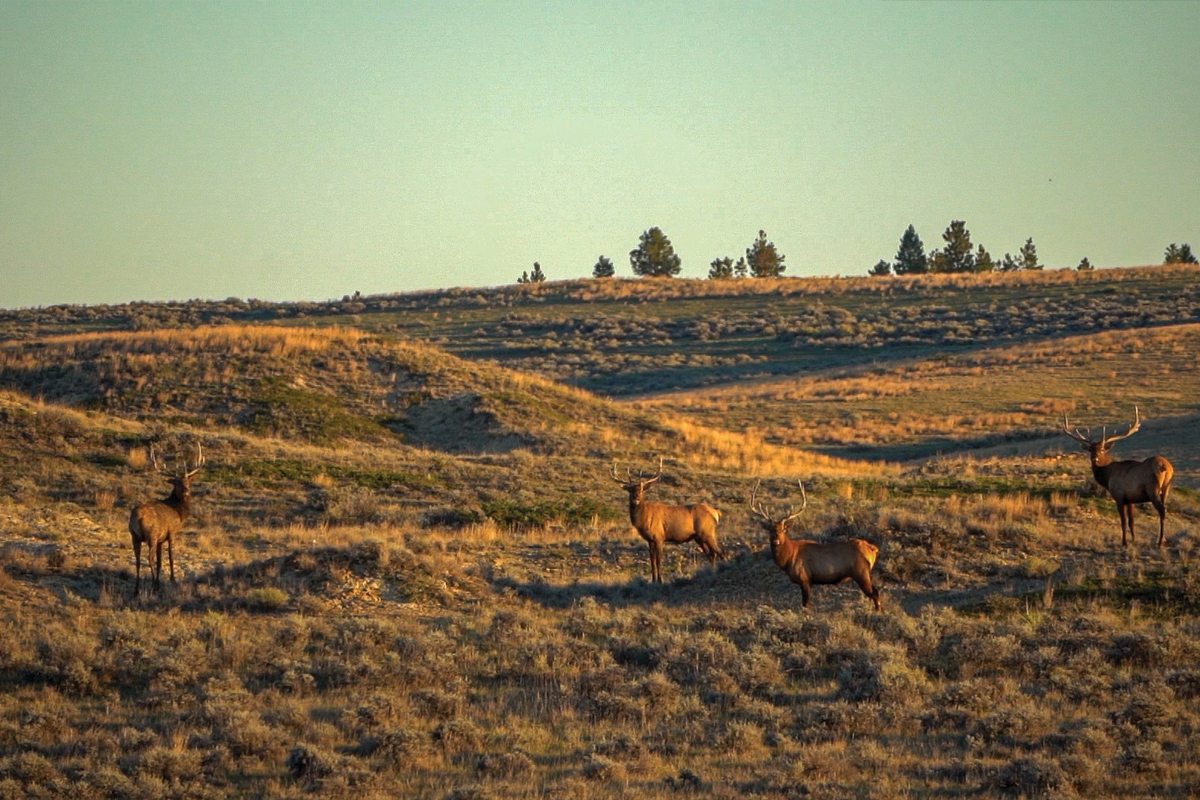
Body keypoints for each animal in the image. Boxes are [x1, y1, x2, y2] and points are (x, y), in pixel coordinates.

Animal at [128, 441, 204, 592]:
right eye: (176, 482)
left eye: (188, 481)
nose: (186, 490)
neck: (179, 512)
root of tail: (138, 518)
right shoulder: (172, 532)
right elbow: (171, 557)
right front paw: (172, 580)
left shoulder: (160, 540)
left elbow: (160, 561)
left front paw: (159, 581)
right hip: (152, 533)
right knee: (149, 557)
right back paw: (152, 586)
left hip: (134, 535)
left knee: (138, 559)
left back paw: (137, 589)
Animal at [748, 482, 883, 614]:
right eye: (770, 530)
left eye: (784, 530)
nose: (776, 541)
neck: (788, 559)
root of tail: (873, 548)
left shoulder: (805, 578)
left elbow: (806, 605)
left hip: (861, 572)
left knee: (875, 593)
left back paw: (877, 614)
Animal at [1060, 407, 1171, 551]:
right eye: (1090, 449)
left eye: (1102, 449)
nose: (1094, 458)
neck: (1108, 477)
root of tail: (1166, 467)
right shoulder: (1130, 499)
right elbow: (1131, 521)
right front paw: (1133, 540)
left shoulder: (1119, 496)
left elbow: (1123, 522)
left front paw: (1124, 543)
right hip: (1166, 488)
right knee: (1164, 509)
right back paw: (1162, 540)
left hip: (1153, 489)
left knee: (1162, 510)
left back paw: (1160, 541)